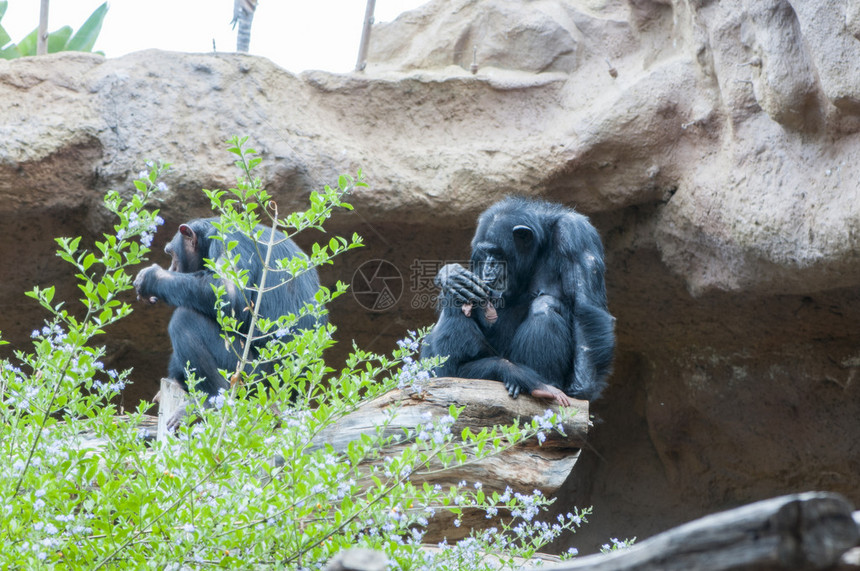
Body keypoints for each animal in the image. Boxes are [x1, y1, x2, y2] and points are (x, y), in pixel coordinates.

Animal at [134, 219, 322, 428]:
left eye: (171, 254)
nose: (171, 269)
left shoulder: (227, 241)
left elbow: (228, 293)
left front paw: (152, 277)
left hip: (252, 376)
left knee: (185, 320)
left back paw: (211, 401)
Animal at [422, 197, 612, 406]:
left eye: (497, 253)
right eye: (485, 253)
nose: (489, 267)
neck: (540, 245)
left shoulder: (576, 234)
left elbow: (584, 305)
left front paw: (582, 388)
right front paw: (452, 275)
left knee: (545, 306)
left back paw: (541, 384)